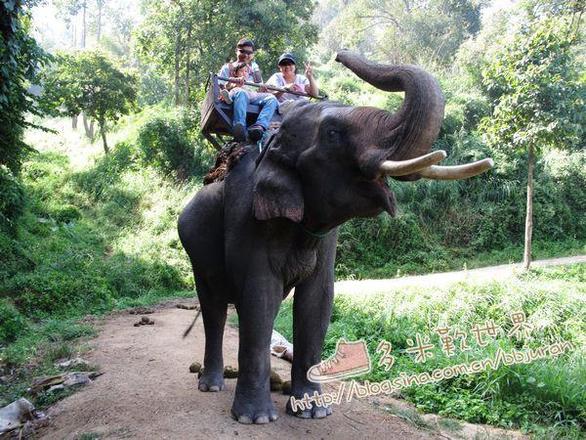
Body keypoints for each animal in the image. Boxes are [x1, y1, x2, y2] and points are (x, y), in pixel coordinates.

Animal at [176, 49, 490, 424]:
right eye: (332, 132)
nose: (339, 55)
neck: (271, 146)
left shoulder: (326, 238)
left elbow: (318, 301)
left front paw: (313, 411)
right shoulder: (246, 215)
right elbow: (259, 296)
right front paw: (256, 419)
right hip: (194, 250)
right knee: (214, 308)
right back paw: (211, 385)